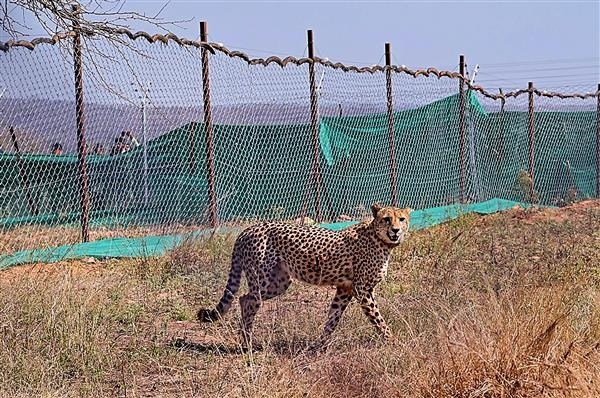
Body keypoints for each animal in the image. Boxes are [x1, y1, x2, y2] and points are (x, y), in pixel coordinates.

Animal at [199, 204, 410, 346]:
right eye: (386, 219)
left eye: (401, 219)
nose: (396, 230)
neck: (380, 239)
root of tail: (248, 229)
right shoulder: (362, 290)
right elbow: (378, 318)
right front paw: (393, 341)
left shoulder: (345, 289)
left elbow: (333, 317)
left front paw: (321, 345)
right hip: (262, 279)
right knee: (249, 300)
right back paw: (248, 342)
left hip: (280, 282)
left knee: (244, 298)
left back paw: (246, 338)